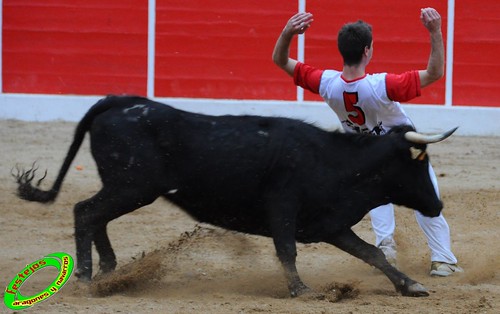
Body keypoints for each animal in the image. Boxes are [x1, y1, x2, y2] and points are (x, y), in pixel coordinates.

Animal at [13, 95, 458, 296]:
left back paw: (109, 270)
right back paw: (87, 277)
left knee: (95, 215)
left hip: (127, 189)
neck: (332, 159)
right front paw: (299, 290)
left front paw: (410, 286)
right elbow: (286, 249)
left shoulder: (329, 223)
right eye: (419, 163)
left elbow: (371, 254)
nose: (437, 205)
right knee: (85, 211)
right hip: (132, 188)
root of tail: (121, 103)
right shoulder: (283, 207)